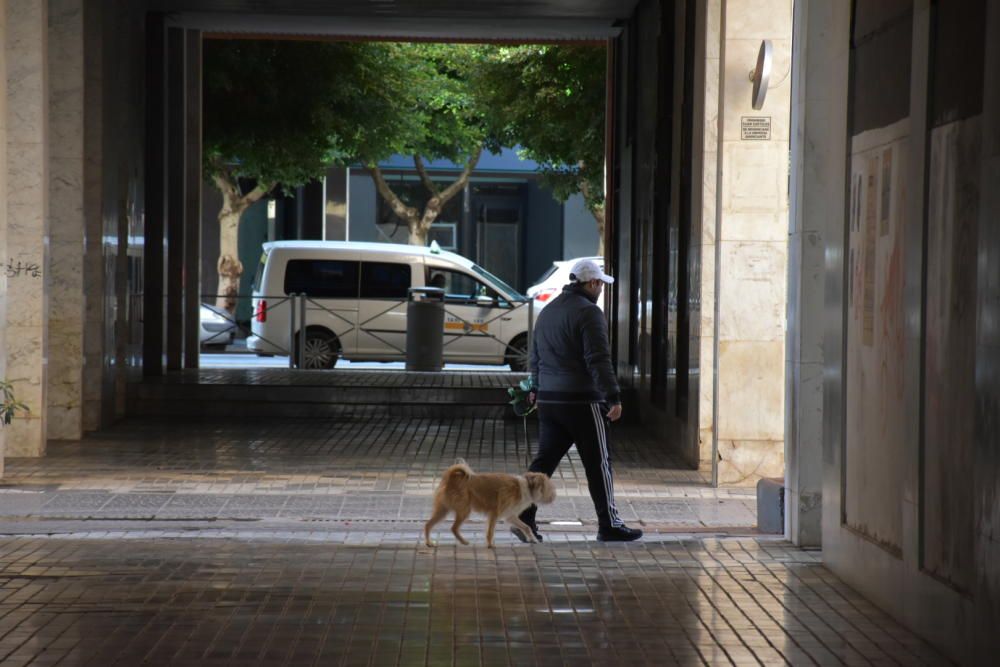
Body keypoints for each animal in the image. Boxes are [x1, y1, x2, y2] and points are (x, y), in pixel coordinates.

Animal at [426, 460, 560, 548]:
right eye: (550, 488)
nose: (554, 496)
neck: (527, 487)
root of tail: (451, 479)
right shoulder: (494, 513)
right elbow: (490, 531)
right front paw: (490, 544)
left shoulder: (510, 515)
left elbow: (526, 527)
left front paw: (532, 538)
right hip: (463, 510)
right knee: (453, 528)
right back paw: (462, 541)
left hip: (443, 510)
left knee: (429, 525)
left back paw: (429, 542)